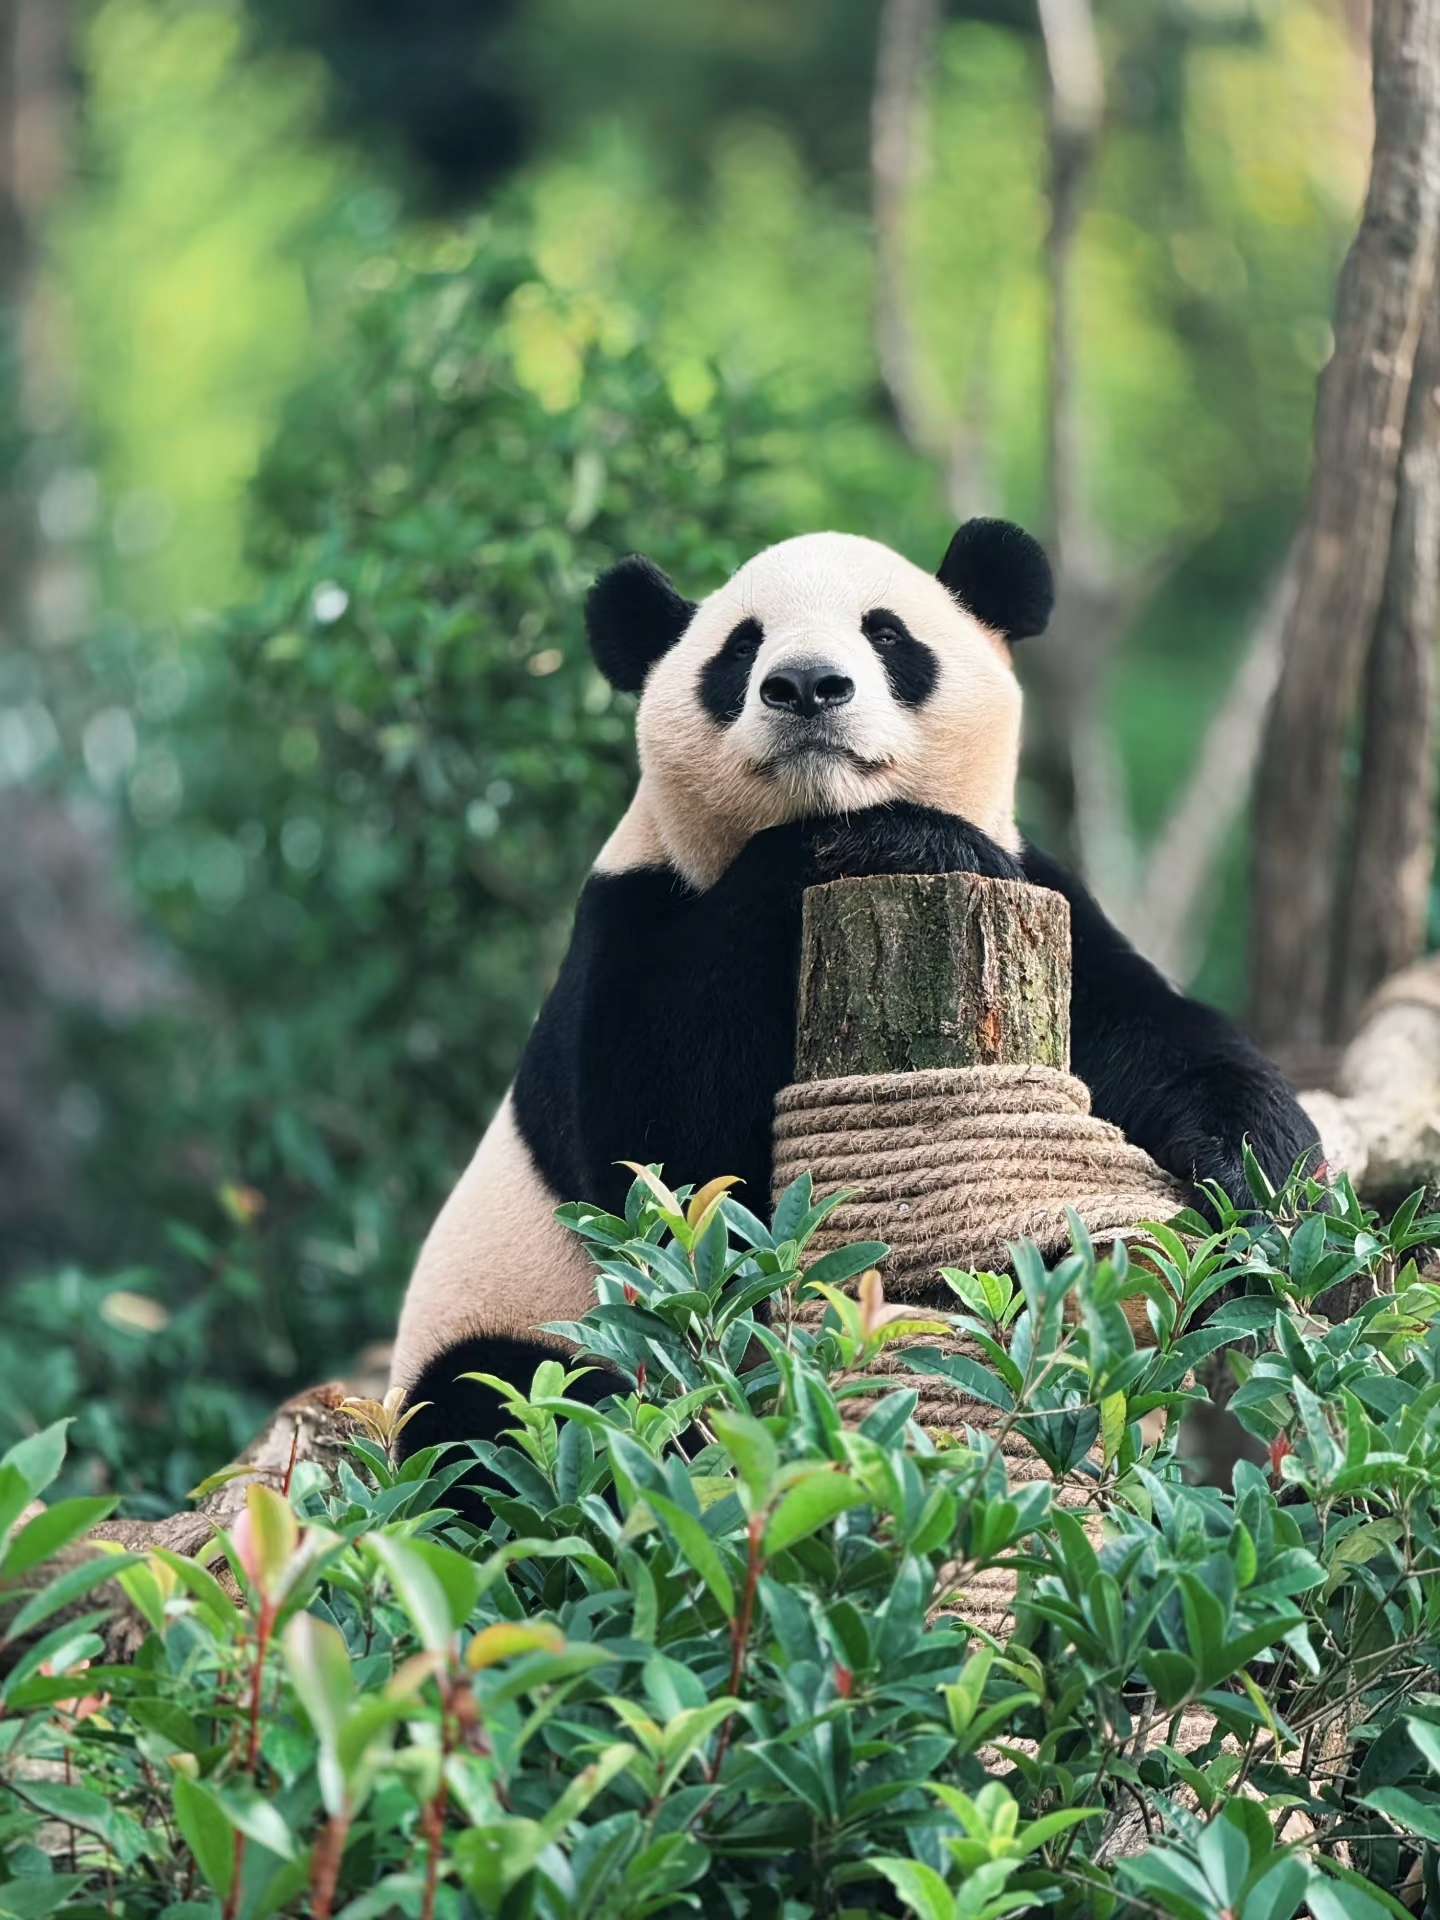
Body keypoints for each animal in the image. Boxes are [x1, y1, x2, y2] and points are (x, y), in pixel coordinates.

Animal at [390, 520, 1318, 1461]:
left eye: (887, 634)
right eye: (740, 648)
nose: (806, 686)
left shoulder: (1048, 903)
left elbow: (1159, 1039)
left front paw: (1259, 1184)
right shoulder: (630, 918)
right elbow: (668, 1170)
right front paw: (902, 840)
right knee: (494, 1404)